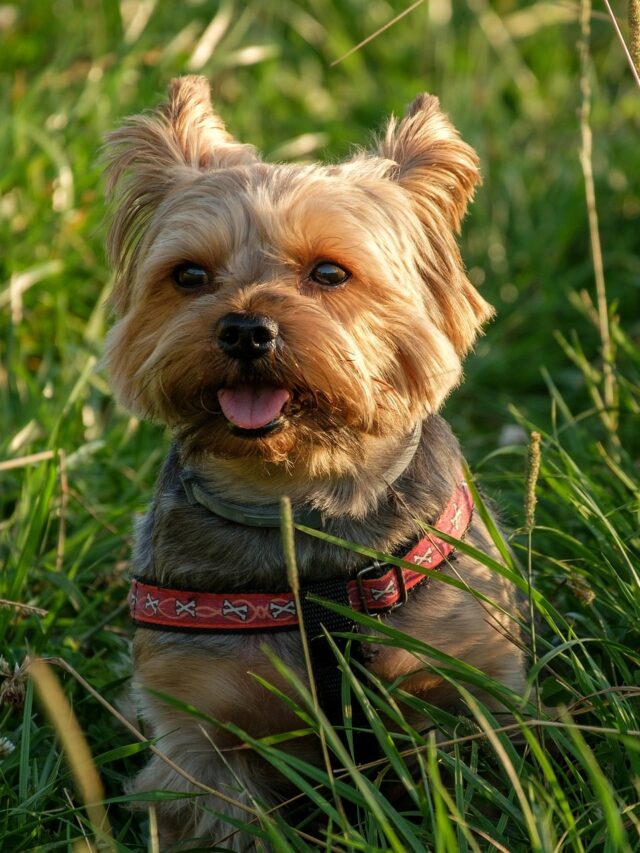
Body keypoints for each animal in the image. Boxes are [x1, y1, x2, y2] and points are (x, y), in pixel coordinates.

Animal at [104, 76, 524, 848]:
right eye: (189, 275)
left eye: (330, 272)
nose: (245, 328)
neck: (300, 497)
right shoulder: (199, 731)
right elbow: (223, 814)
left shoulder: (469, 682)